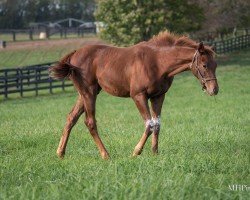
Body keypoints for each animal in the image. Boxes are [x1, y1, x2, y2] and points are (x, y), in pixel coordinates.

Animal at [50, 31, 219, 159]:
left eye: (215, 65)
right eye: (204, 65)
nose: (214, 90)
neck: (157, 62)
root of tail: (74, 54)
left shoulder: (158, 96)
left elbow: (157, 124)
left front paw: (154, 153)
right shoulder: (138, 96)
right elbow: (149, 124)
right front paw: (136, 152)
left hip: (85, 94)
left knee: (71, 118)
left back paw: (60, 153)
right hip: (89, 93)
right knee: (90, 122)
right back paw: (105, 155)